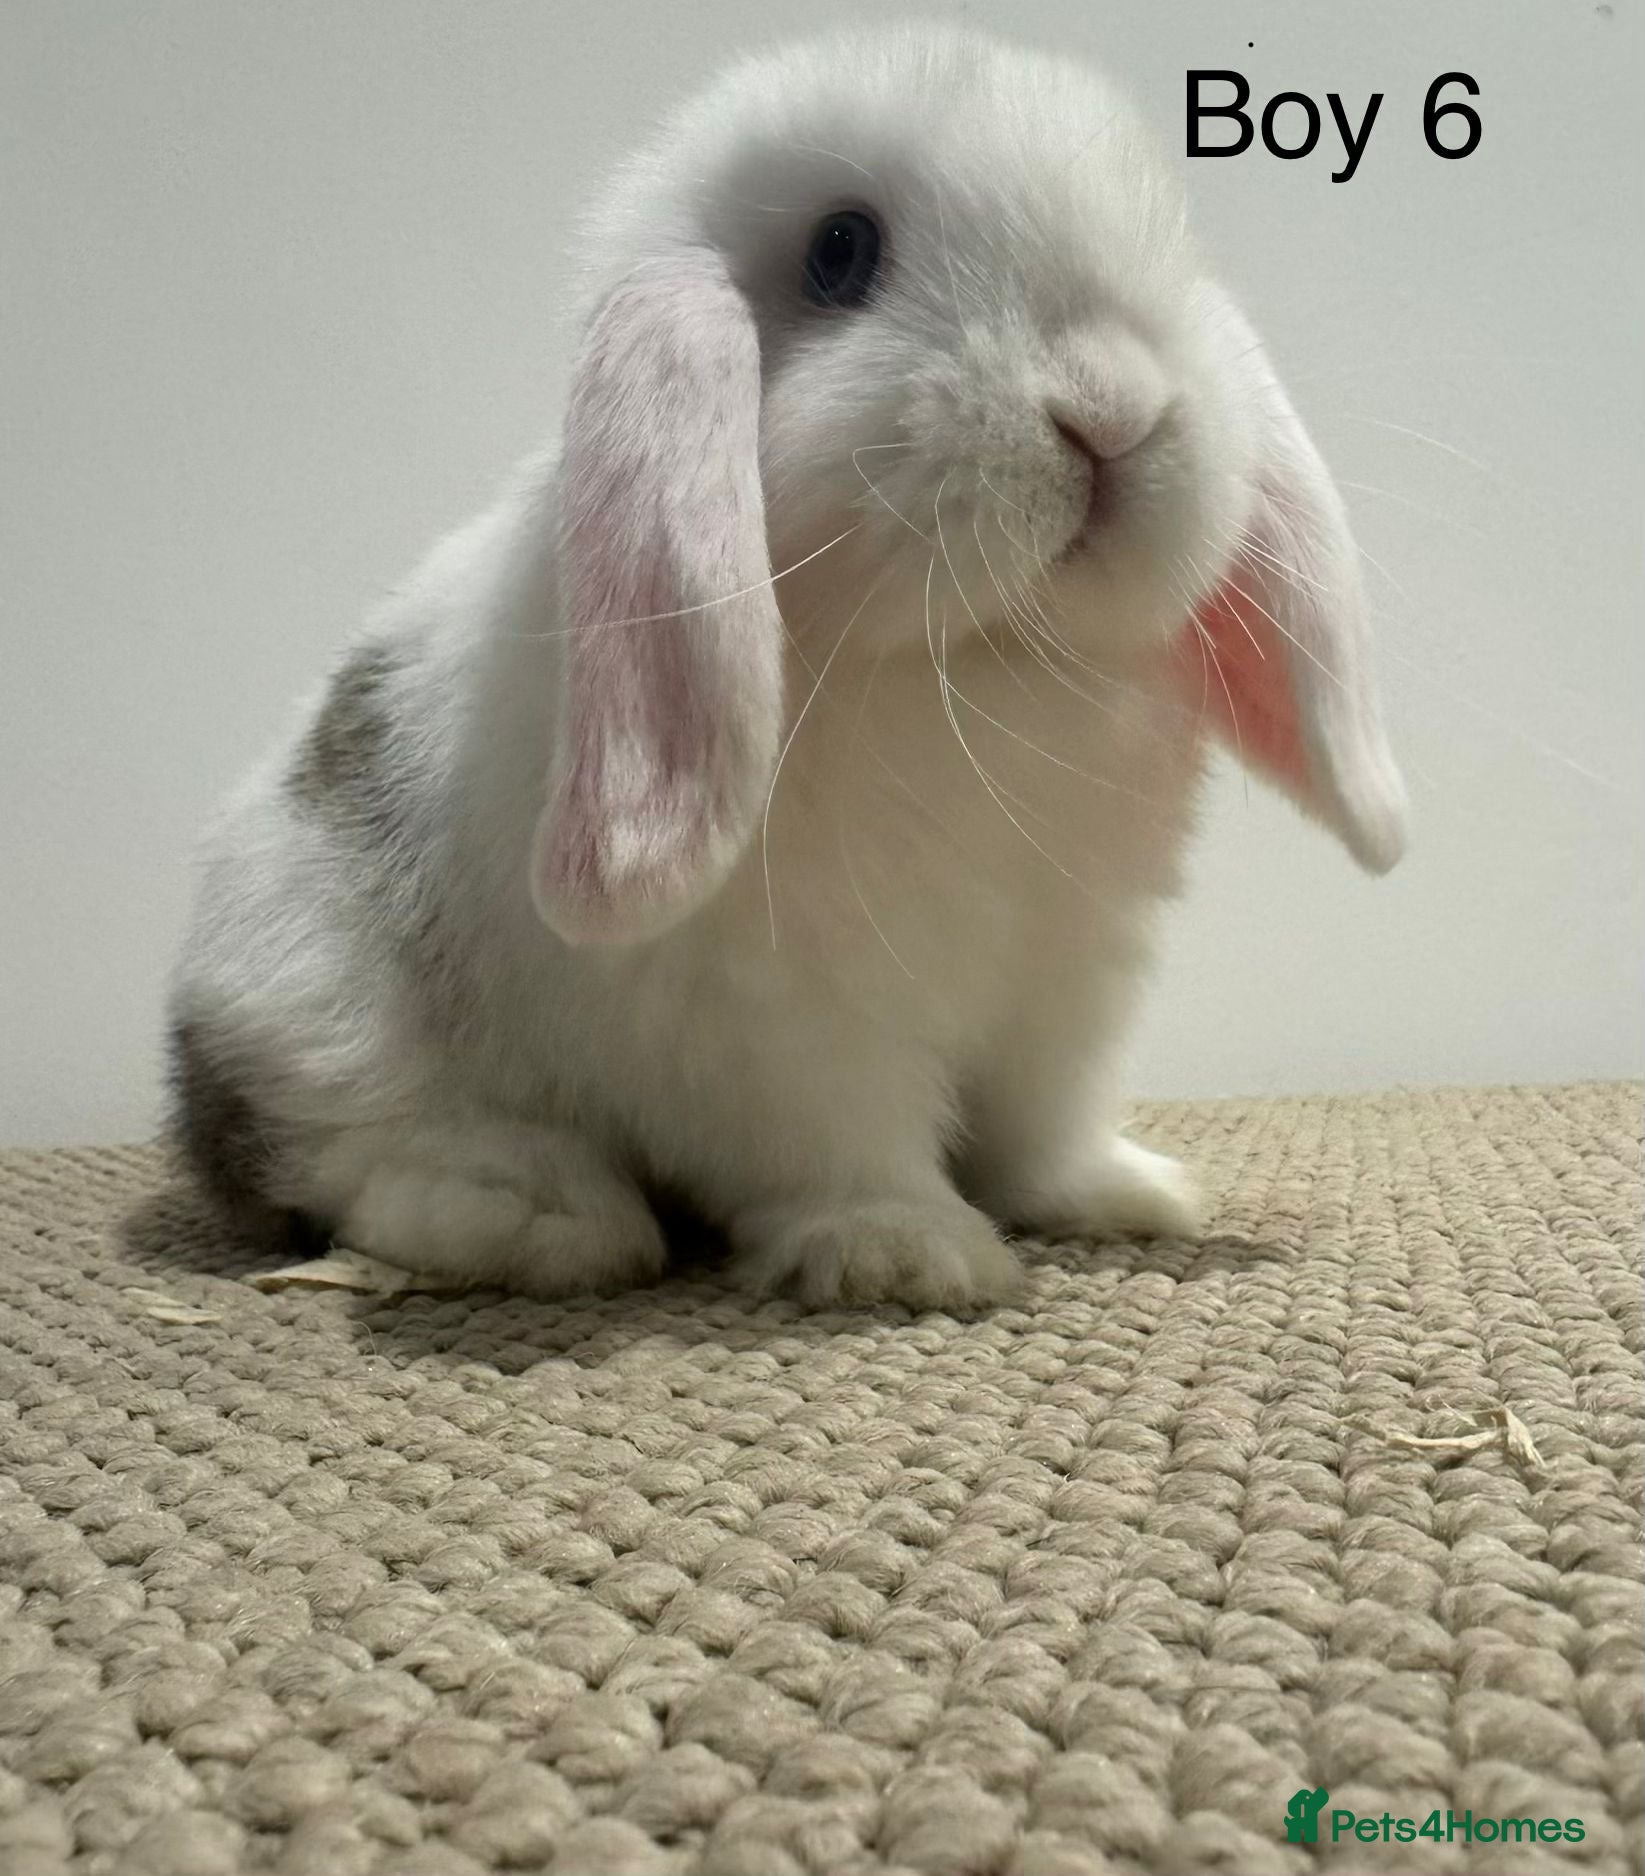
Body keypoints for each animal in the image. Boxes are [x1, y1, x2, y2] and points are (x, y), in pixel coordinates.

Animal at [166, 21, 1406, 1310]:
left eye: (1169, 241)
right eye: (840, 252)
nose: (1111, 410)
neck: (971, 665)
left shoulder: (1068, 978)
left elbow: (1039, 1124)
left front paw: (1122, 1195)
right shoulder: (779, 1013)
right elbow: (839, 1138)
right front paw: (905, 1252)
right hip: (320, 1003)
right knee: (341, 1151)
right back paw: (538, 1214)